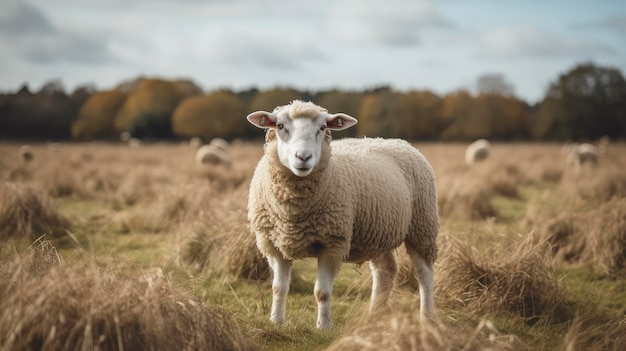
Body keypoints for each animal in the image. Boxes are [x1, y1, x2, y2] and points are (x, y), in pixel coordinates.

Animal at [245, 99, 438, 330]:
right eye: (280, 126)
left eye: (322, 128)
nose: (303, 157)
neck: (293, 214)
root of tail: (399, 142)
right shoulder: (273, 244)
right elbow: (279, 288)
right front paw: (276, 321)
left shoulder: (332, 243)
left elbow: (322, 292)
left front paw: (324, 326)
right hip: (377, 231)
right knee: (386, 271)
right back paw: (374, 315)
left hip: (422, 225)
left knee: (425, 275)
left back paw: (427, 317)